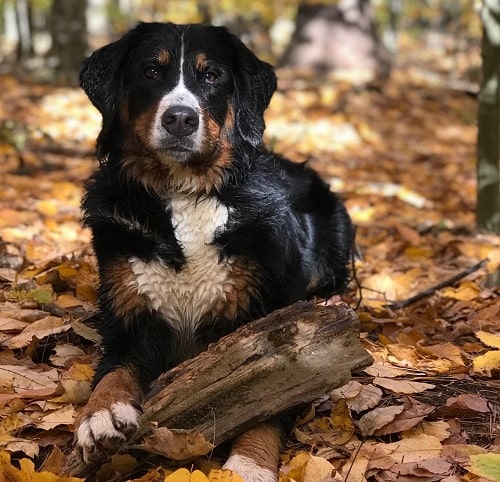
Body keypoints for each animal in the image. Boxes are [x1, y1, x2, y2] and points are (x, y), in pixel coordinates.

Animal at [74, 20, 354, 480]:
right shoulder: (130, 317)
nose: (180, 118)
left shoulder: (263, 325)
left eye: (211, 76)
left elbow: (266, 399)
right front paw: (102, 416)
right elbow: (113, 373)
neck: (185, 191)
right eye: (150, 71)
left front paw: (248, 464)